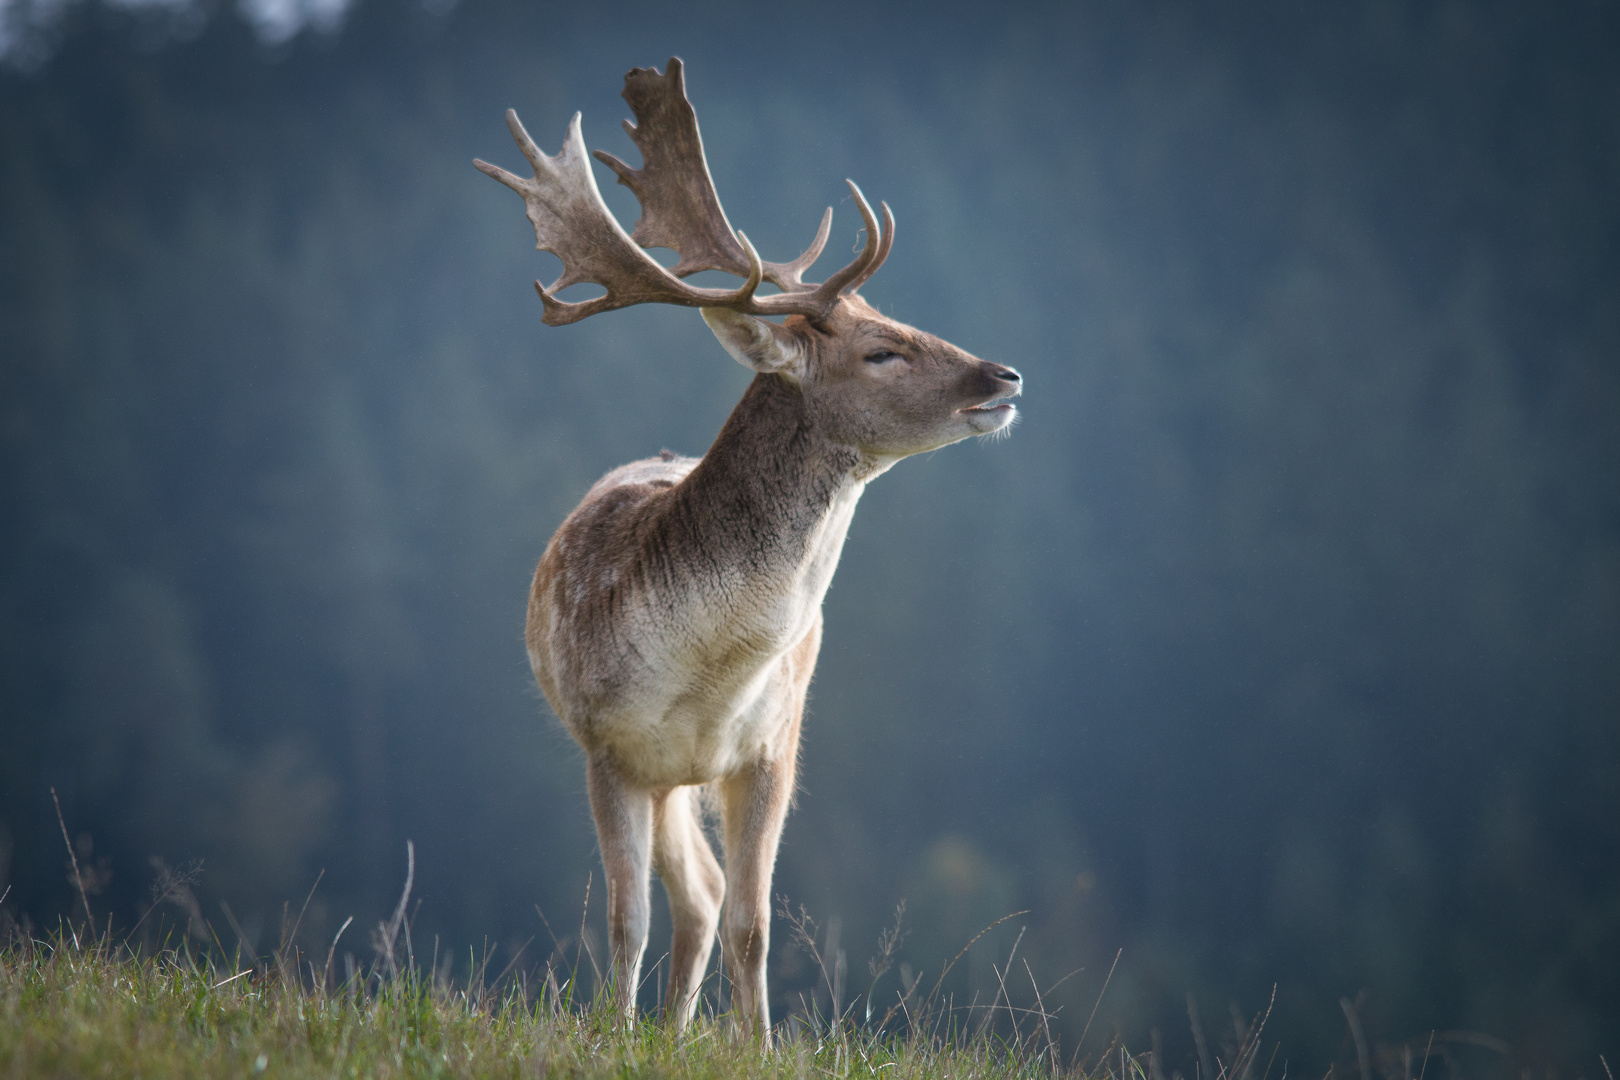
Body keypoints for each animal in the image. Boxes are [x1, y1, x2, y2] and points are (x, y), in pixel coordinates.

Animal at [473, 59, 1017, 1036]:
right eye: (882, 351)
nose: (1006, 376)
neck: (707, 672)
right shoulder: (609, 747)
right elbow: (627, 917)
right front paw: (615, 1035)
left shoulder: (773, 747)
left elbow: (753, 920)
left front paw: (753, 1045)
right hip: (655, 776)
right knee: (685, 896)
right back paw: (658, 1027)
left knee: (707, 896)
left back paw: (682, 1029)